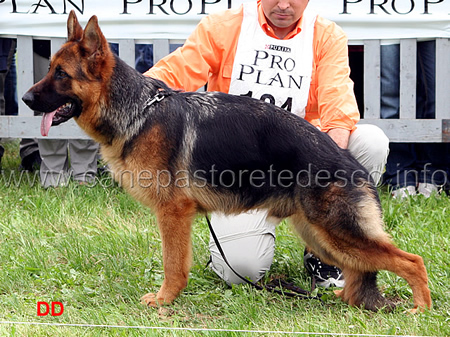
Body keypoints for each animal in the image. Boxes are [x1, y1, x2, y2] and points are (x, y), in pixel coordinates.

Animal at [22, 11, 430, 312]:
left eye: (61, 74)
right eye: (50, 69)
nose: (25, 99)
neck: (139, 110)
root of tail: (352, 164)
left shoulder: (173, 214)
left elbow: (173, 264)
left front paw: (165, 300)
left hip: (336, 232)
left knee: (411, 261)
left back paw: (419, 309)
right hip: (317, 233)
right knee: (360, 269)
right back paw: (343, 298)